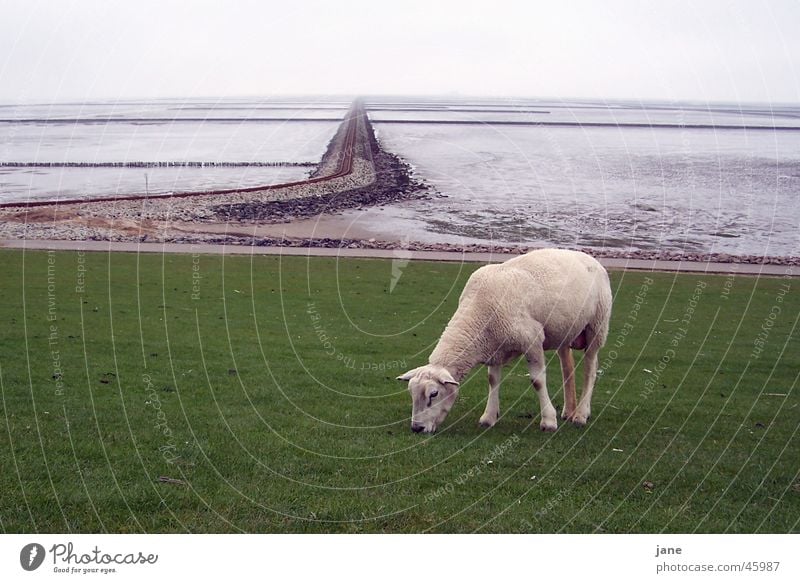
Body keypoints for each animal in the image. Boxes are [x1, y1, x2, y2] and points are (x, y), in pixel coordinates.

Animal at [398, 249, 612, 436]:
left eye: (434, 394)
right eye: (411, 394)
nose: (416, 428)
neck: (478, 313)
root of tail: (589, 258)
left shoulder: (532, 339)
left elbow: (537, 381)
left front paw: (548, 421)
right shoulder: (495, 347)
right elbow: (493, 380)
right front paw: (489, 417)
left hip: (597, 325)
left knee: (590, 368)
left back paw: (581, 415)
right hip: (565, 330)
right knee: (568, 367)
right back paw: (569, 411)